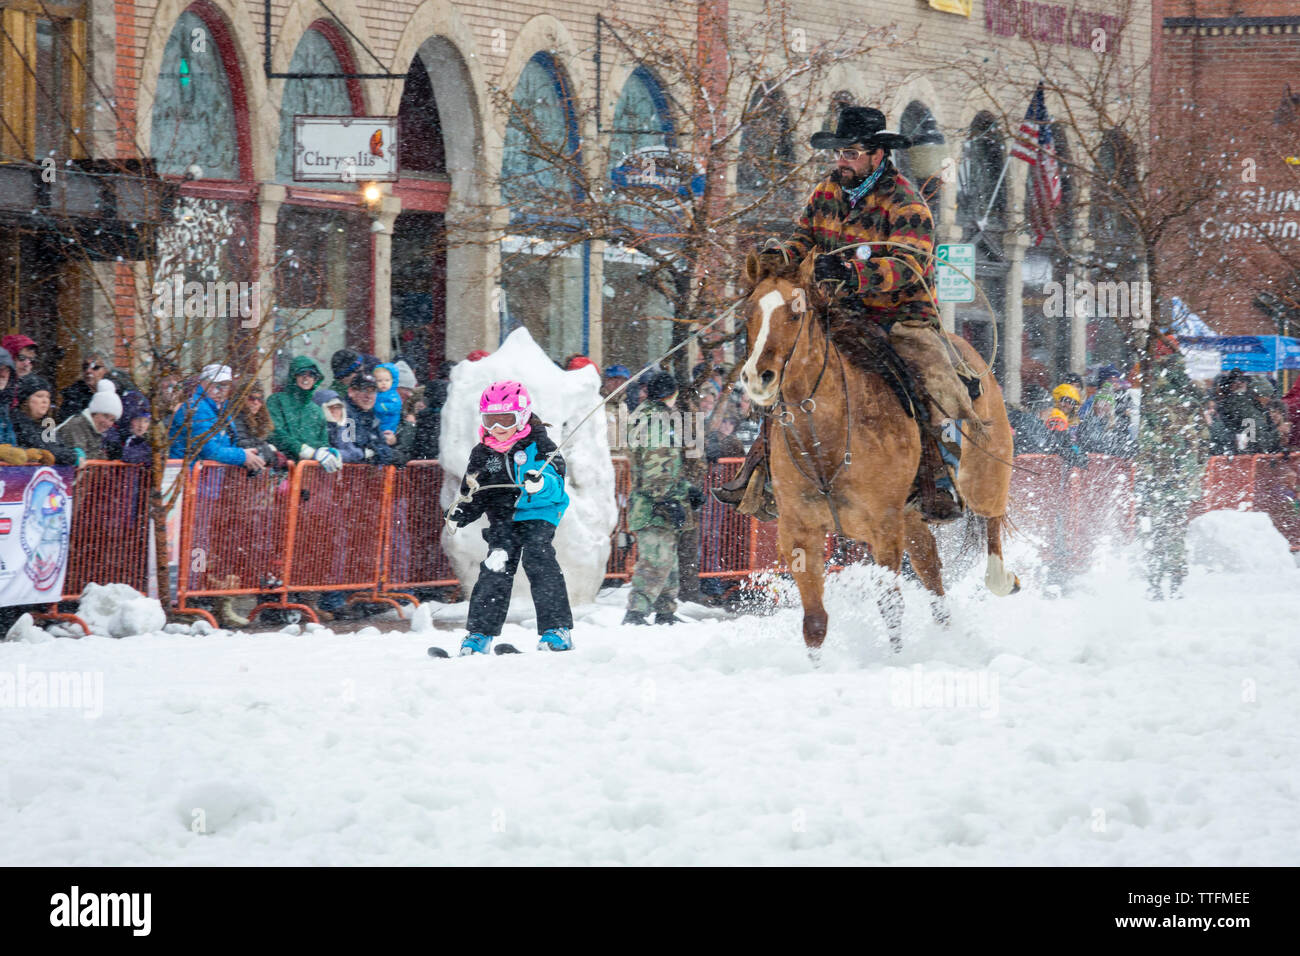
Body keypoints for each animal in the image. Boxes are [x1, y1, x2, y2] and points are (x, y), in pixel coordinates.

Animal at [738, 251, 1019, 658]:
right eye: (748, 312)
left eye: (795, 312)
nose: (757, 376)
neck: (828, 438)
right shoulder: (799, 531)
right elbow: (815, 622)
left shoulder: (884, 528)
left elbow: (891, 605)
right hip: (914, 514)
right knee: (931, 567)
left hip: (983, 475)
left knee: (992, 519)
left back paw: (1001, 578)